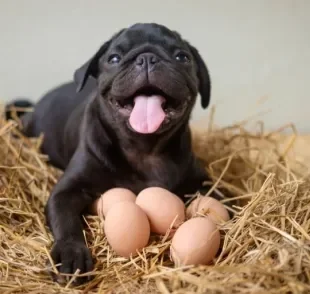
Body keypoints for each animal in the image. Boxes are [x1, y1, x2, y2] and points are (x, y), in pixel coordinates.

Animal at [6, 23, 213, 284]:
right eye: (114, 58)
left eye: (182, 57)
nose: (147, 58)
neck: (145, 149)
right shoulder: (66, 192)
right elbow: (66, 223)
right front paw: (70, 253)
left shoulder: (202, 181)